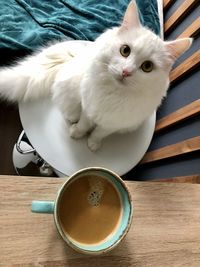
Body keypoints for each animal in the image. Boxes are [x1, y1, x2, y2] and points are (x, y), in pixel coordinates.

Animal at [0, 0, 192, 152]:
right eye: (125, 50)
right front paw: (77, 134)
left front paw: (92, 144)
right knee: (70, 111)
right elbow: (84, 124)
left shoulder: (113, 124)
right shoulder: (89, 108)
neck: (114, 95)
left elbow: (99, 133)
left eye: (147, 67)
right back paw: (72, 120)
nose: (126, 72)